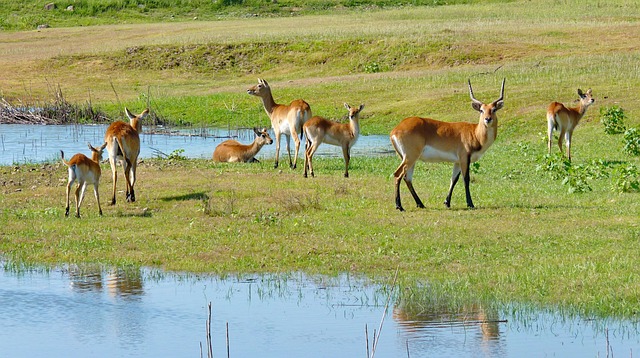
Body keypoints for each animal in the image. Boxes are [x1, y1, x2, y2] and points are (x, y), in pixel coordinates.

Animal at [390, 78, 504, 211]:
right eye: (481, 110)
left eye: (494, 109)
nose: (487, 119)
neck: (475, 133)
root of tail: (395, 130)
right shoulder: (464, 158)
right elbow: (466, 179)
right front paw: (470, 204)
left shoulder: (457, 161)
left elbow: (453, 179)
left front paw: (447, 202)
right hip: (410, 157)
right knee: (398, 175)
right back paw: (399, 206)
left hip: (409, 158)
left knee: (407, 178)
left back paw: (420, 204)